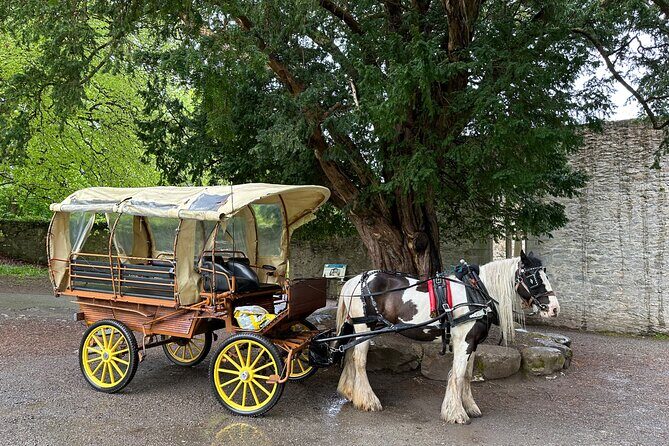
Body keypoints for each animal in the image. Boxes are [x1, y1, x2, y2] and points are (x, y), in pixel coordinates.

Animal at [334, 250, 559, 424]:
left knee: (350, 355)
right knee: (359, 360)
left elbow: (467, 375)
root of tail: (354, 280)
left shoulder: (473, 343)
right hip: (364, 327)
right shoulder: (464, 342)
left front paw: (469, 406)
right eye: (534, 279)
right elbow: (458, 375)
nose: (554, 309)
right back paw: (368, 400)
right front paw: (456, 413)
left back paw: (350, 393)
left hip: (358, 330)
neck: (476, 291)